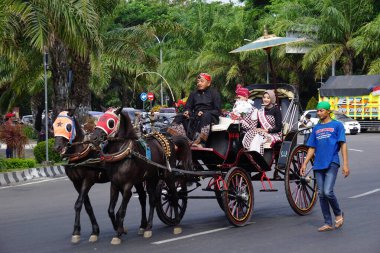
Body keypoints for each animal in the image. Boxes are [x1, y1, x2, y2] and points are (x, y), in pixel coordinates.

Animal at [52, 110, 148, 243]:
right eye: (53, 126)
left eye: (68, 127)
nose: (57, 147)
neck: (80, 152)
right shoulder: (76, 183)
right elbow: (87, 206)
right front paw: (95, 231)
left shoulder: (87, 181)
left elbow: (78, 204)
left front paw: (76, 231)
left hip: (136, 180)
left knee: (142, 197)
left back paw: (142, 226)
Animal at [90, 107, 193, 244]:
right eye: (100, 118)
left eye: (110, 122)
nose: (93, 138)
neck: (123, 154)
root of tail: (170, 139)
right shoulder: (114, 184)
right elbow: (110, 210)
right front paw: (120, 229)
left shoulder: (127, 186)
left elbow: (122, 210)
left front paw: (118, 233)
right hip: (151, 178)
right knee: (152, 199)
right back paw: (147, 227)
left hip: (168, 175)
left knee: (174, 196)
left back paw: (175, 224)